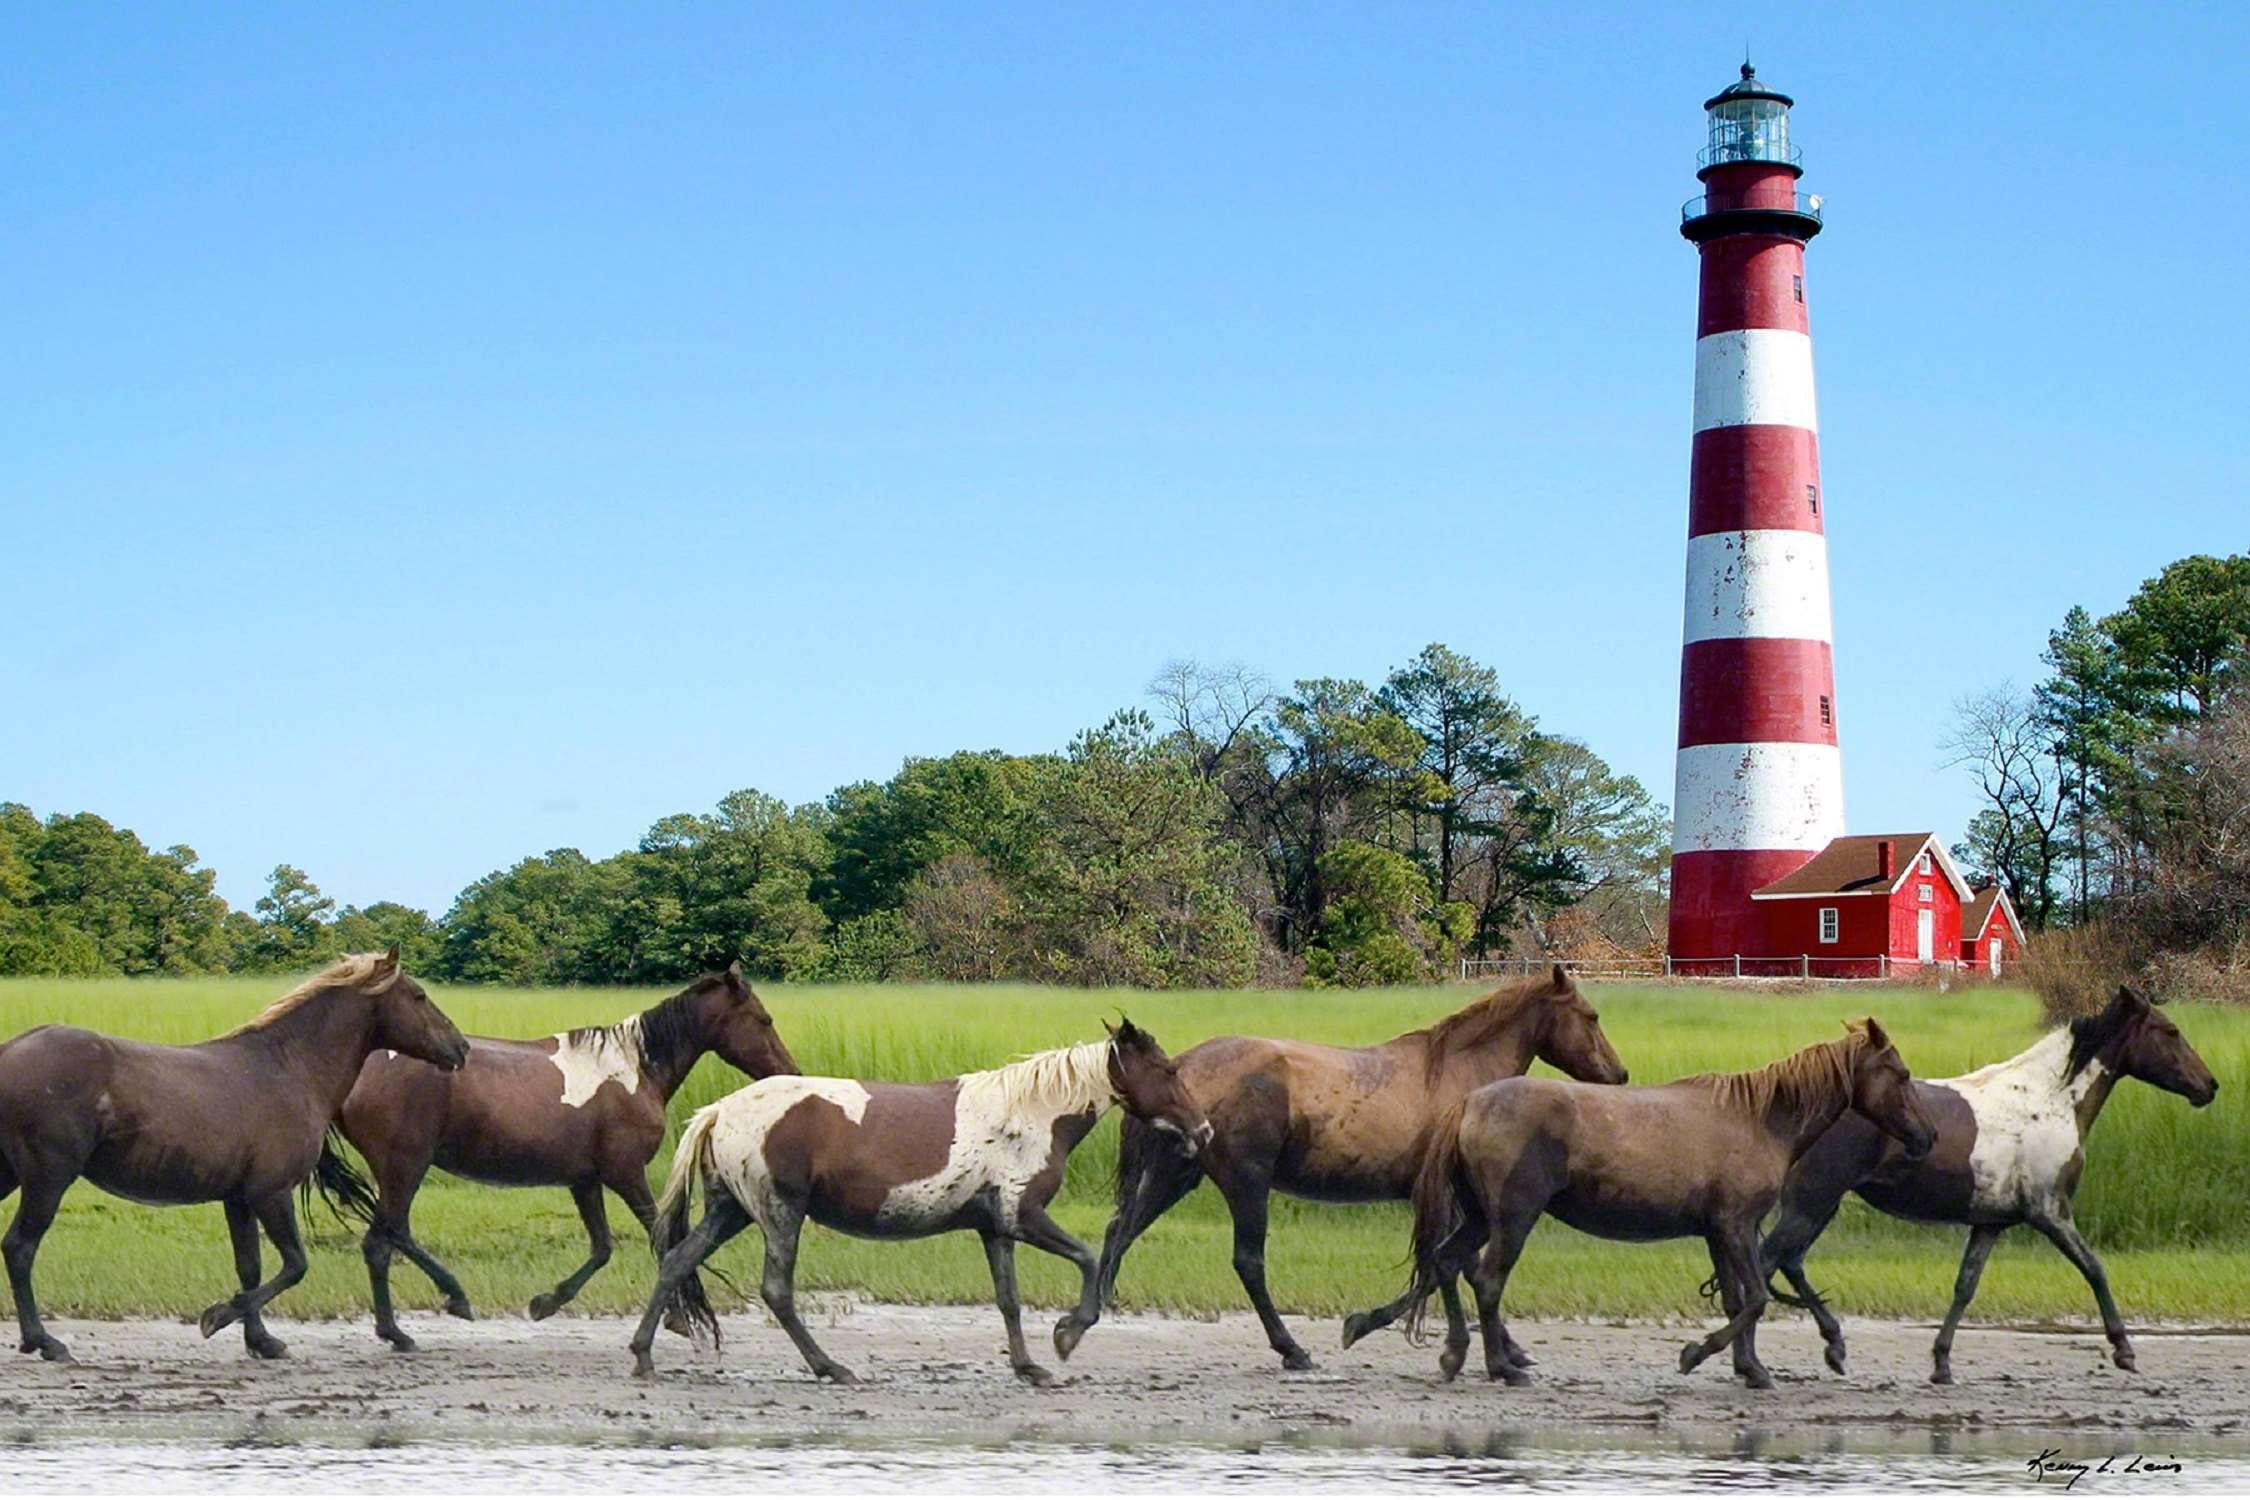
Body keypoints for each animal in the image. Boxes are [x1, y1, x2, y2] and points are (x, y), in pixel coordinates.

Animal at [0, 958, 468, 1367]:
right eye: (419, 995)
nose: (461, 1047)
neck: (290, 1069)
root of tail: (10, 1050)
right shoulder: (271, 1193)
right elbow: (294, 1265)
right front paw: (218, 1317)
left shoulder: (239, 1199)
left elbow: (251, 1268)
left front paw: (261, 1340)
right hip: (48, 1178)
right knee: (19, 1248)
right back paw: (44, 1341)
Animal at [625, 1016, 1224, 1394]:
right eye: (1168, 1071)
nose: (1204, 1131)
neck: (1031, 1114)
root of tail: (718, 1111)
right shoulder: (1023, 1217)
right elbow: (1088, 1258)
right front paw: (1067, 1335)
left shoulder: (996, 1229)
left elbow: (1009, 1300)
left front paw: (1030, 1367)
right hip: (779, 1213)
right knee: (777, 1291)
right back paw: (832, 1368)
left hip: (730, 1211)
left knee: (677, 1260)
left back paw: (644, 1357)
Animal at [1089, 976, 1620, 1376]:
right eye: (1591, 1015)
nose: (1619, 1076)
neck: (1459, 1079)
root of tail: (1181, 1067)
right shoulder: (1444, 1200)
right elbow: (1443, 1268)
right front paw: (1369, 1327)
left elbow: (1458, 1266)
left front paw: (1509, 1349)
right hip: (1246, 1184)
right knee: (1248, 1262)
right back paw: (1292, 1349)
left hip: (1175, 1176)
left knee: (1120, 1232)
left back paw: (1094, 1311)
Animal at [1332, 1016, 1935, 1394]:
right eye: (1902, 1074)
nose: (1927, 1136)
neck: (1761, 1118)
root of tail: (1469, 1104)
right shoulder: (1738, 1226)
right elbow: (1758, 1299)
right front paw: (1697, 1354)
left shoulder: (1719, 1232)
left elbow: (1737, 1300)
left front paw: (1751, 1368)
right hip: (1512, 1218)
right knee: (1485, 1280)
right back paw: (1501, 1366)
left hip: (1480, 1218)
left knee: (1447, 1263)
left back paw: (1455, 1354)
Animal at [1755, 985, 2214, 1385]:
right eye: (2170, 1031)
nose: (2209, 1086)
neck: (2048, 1101)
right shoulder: (2050, 1211)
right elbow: (2094, 1269)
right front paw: (2124, 1350)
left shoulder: (1991, 1223)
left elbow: (1965, 1287)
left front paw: (1941, 1364)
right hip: (1812, 1203)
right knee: (1767, 1262)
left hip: (1821, 1205)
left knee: (1789, 1262)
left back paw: (1833, 1346)